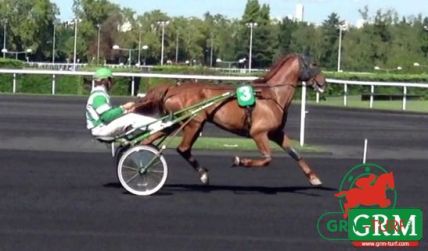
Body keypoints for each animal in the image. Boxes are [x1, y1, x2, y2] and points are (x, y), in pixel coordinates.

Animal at [135, 53, 326, 186]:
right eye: (314, 64)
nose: (323, 82)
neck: (272, 95)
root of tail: (173, 88)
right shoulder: (259, 133)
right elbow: (267, 159)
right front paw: (239, 160)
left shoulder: (276, 133)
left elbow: (295, 153)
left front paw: (314, 178)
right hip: (194, 123)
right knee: (183, 149)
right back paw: (202, 174)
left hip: (176, 122)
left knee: (149, 140)